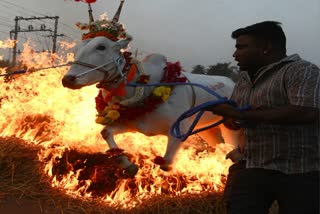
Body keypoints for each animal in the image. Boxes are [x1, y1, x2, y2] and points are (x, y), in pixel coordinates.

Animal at [62, 36, 238, 177]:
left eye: (101, 46)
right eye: (77, 49)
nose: (67, 79)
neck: (144, 85)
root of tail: (232, 82)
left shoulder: (179, 130)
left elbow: (165, 163)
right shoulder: (132, 124)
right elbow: (106, 133)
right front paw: (128, 165)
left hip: (230, 128)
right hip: (208, 130)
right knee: (222, 146)